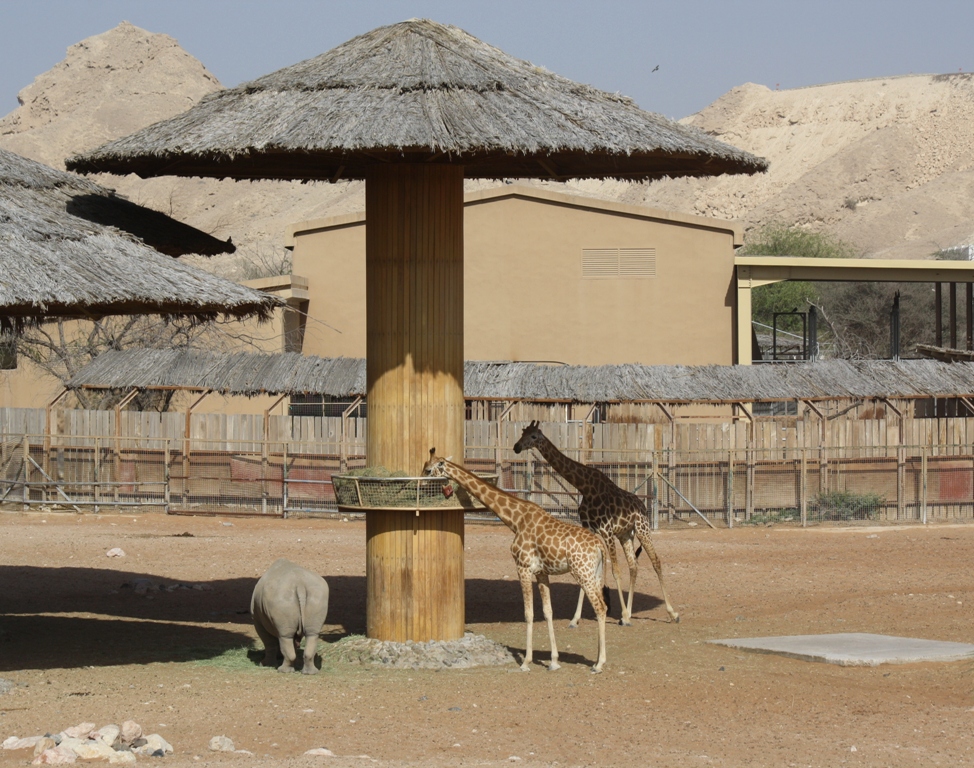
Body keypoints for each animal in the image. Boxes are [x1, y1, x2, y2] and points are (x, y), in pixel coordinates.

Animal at [422, 450, 608, 672]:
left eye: (427, 469)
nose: (420, 484)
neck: (515, 520)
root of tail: (599, 545)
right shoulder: (541, 572)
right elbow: (548, 611)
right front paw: (554, 661)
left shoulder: (523, 567)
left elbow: (528, 613)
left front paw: (526, 662)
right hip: (595, 574)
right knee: (602, 606)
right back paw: (596, 659)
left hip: (583, 572)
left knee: (600, 607)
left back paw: (599, 664)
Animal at [516, 424, 684, 628]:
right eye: (522, 433)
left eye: (533, 436)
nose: (516, 447)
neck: (585, 487)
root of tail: (643, 506)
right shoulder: (591, 529)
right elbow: (586, 576)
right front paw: (575, 619)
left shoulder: (607, 530)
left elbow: (615, 571)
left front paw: (624, 616)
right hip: (626, 534)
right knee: (633, 565)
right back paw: (629, 612)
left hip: (642, 528)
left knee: (656, 561)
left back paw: (671, 613)